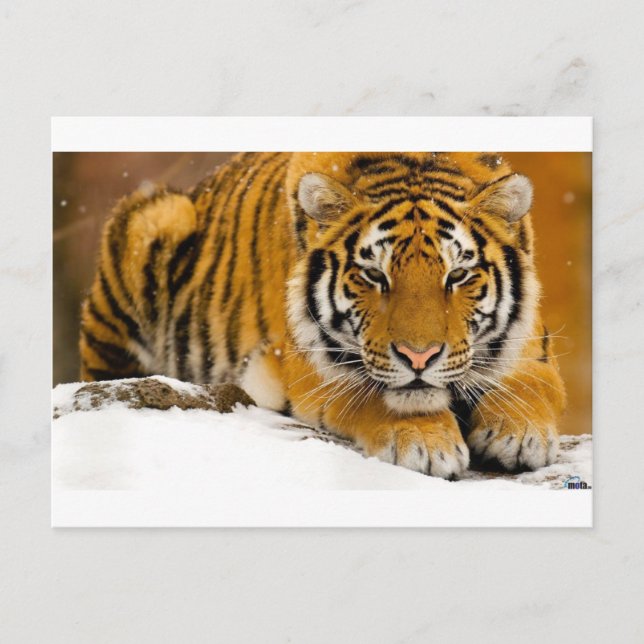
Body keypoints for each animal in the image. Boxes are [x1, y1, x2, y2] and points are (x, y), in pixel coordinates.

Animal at [79, 151, 565, 479]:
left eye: (457, 275)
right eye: (374, 275)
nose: (419, 357)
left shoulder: (530, 343)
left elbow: (533, 384)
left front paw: (518, 433)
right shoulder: (304, 361)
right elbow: (371, 393)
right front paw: (426, 444)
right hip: (154, 218)